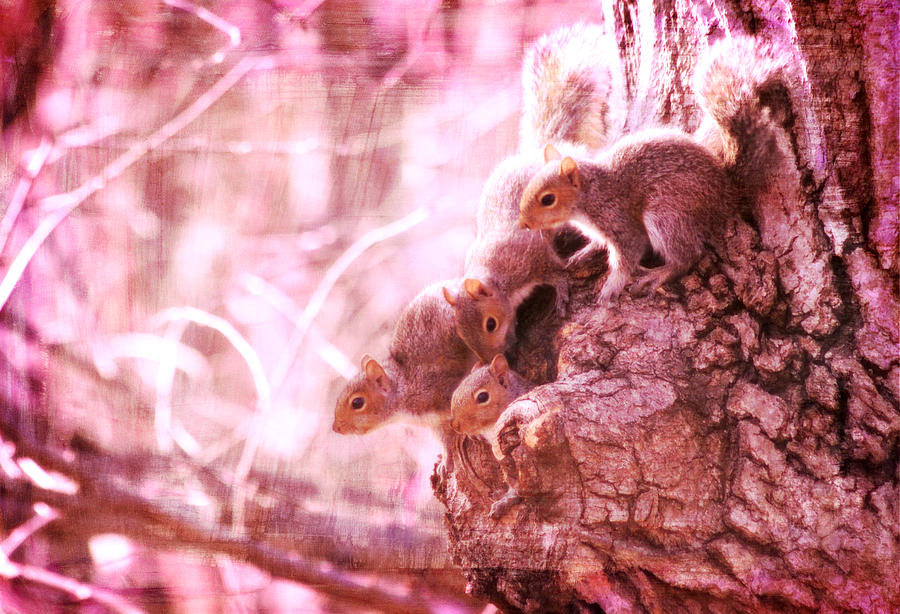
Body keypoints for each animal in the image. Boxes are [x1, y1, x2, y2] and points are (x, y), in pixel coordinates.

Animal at [516, 35, 800, 304]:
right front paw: (583, 253)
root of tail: (726, 191)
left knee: (687, 257)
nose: (523, 224)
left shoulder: (618, 219)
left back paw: (659, 274)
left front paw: (611, 288)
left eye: (548, 199)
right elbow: (599, 244)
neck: (588, 196)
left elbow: (628, 255)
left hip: (666, 215)